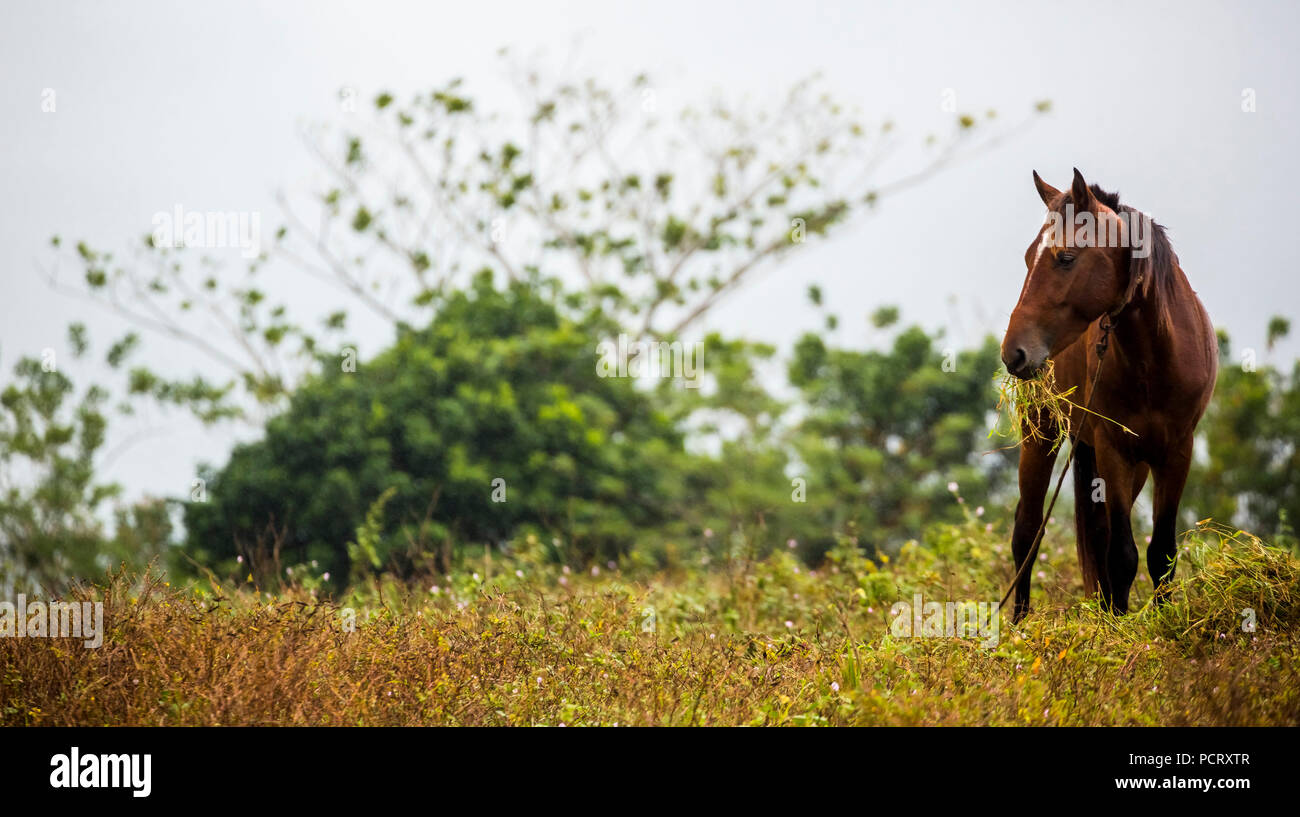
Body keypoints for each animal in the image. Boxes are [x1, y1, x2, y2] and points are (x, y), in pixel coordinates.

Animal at [1003, 169, 1216, 621]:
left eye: (1066, 257)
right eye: (1029, 257)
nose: (1013, 352)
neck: (1155, 357)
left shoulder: (1176, 452)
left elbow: (1160, 553)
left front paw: (1159, 620)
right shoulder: (1113, 447)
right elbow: (1122, 555)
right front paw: (1119, 628)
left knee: (1096, 531)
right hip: (1042, 434)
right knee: (1027, 531)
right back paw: (1020, 623)